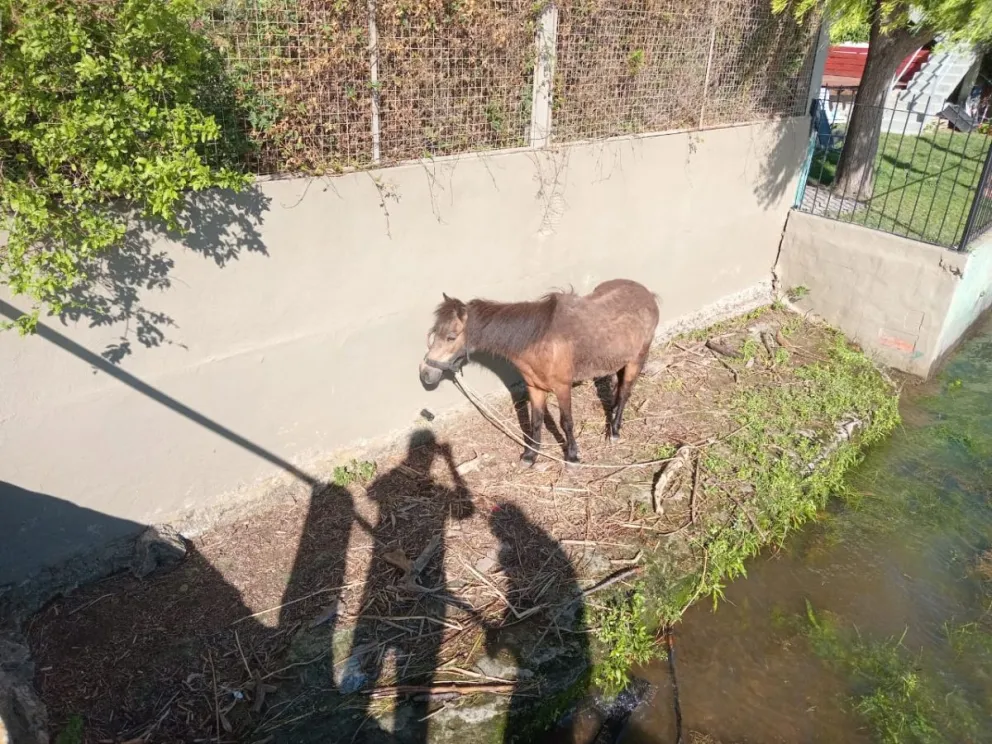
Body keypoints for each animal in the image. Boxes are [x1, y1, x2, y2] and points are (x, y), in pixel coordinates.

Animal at [419, 279, 660, 466]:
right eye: (434, 333)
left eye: (451, 337)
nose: (425, 374)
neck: (538, 341)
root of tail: (647, 293)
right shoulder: (534, 388)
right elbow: (535, 421)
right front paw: (530, 456)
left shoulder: (562, 387)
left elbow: (566, 422)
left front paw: (572, 457)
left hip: (636, 360)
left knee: (625, 392)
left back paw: (615, 431)